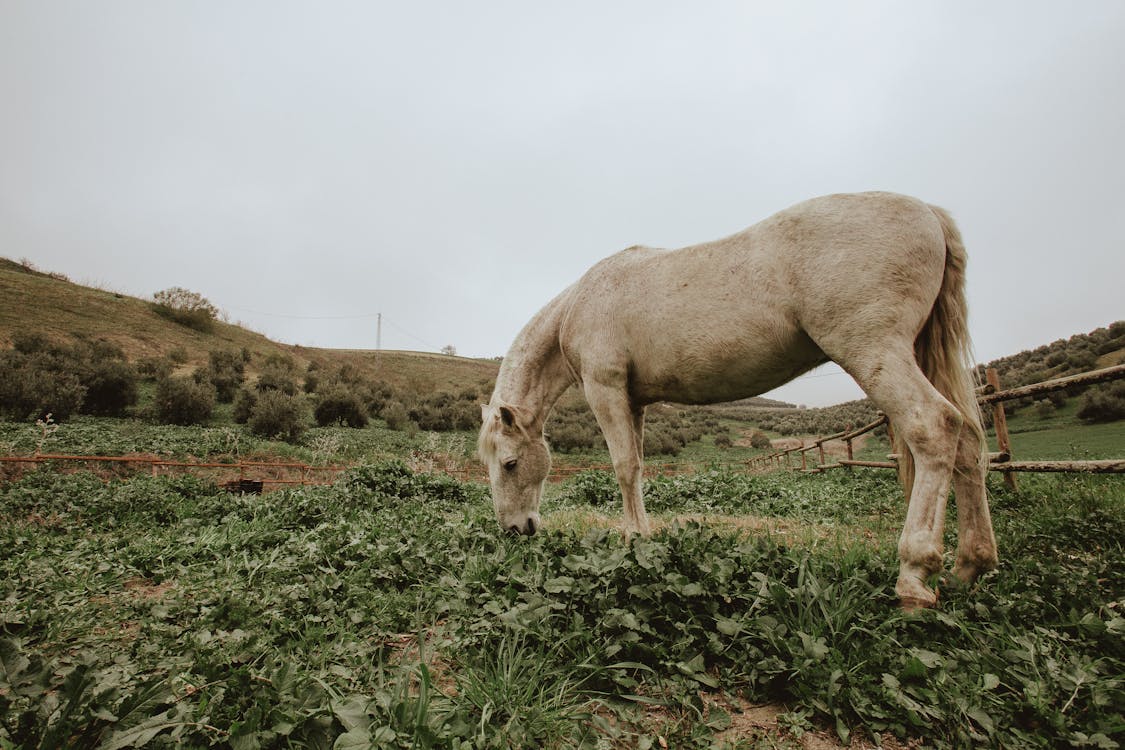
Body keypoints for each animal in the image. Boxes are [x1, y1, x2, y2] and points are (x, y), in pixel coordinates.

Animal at [479, 191, 999, 607]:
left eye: (509, 463)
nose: (515, 530)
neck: (581, 303)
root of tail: (928, 213)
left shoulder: (604, 388)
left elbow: (624, 467)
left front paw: (634, 540)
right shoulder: (635, 401)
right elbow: (638, 466)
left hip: (874, 350)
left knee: (934, 427)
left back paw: (914, 575)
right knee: (969, 444)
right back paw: (969, 566)